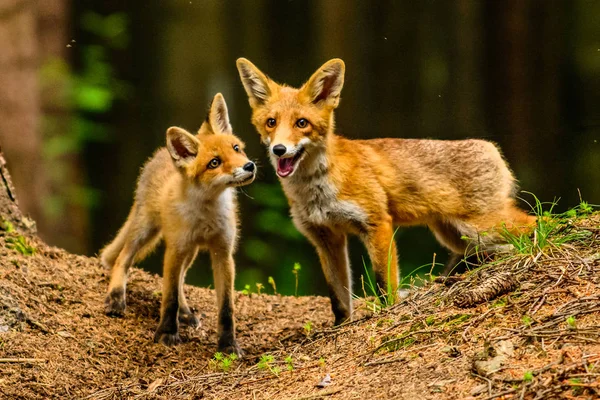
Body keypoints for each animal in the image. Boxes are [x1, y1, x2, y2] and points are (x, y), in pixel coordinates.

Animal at [101, 93, 255, 354]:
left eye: (236, 148)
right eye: (215, 162)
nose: (249, 166)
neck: (207, 213)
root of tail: (161, 153)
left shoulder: (223, 253)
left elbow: (226, 308)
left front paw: (228, 344)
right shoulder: (174, 249)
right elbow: (169, 297)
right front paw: (167, 333)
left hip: (189, 250)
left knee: (181, 278)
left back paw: (185, 313)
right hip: (147, 230)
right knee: (123, 258)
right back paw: (116, 297)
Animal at [236, 57, 536, 324]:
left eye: (301, 123)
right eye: (271, 122)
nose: (279, 150)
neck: (316, 191)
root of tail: (491, 148)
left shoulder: (377, 223)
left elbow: (384, 285)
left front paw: (389, 311)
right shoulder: (325, 237)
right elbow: (339, 298)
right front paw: (340, 328)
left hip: (481, 227)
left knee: (536, 221)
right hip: (458, 237)